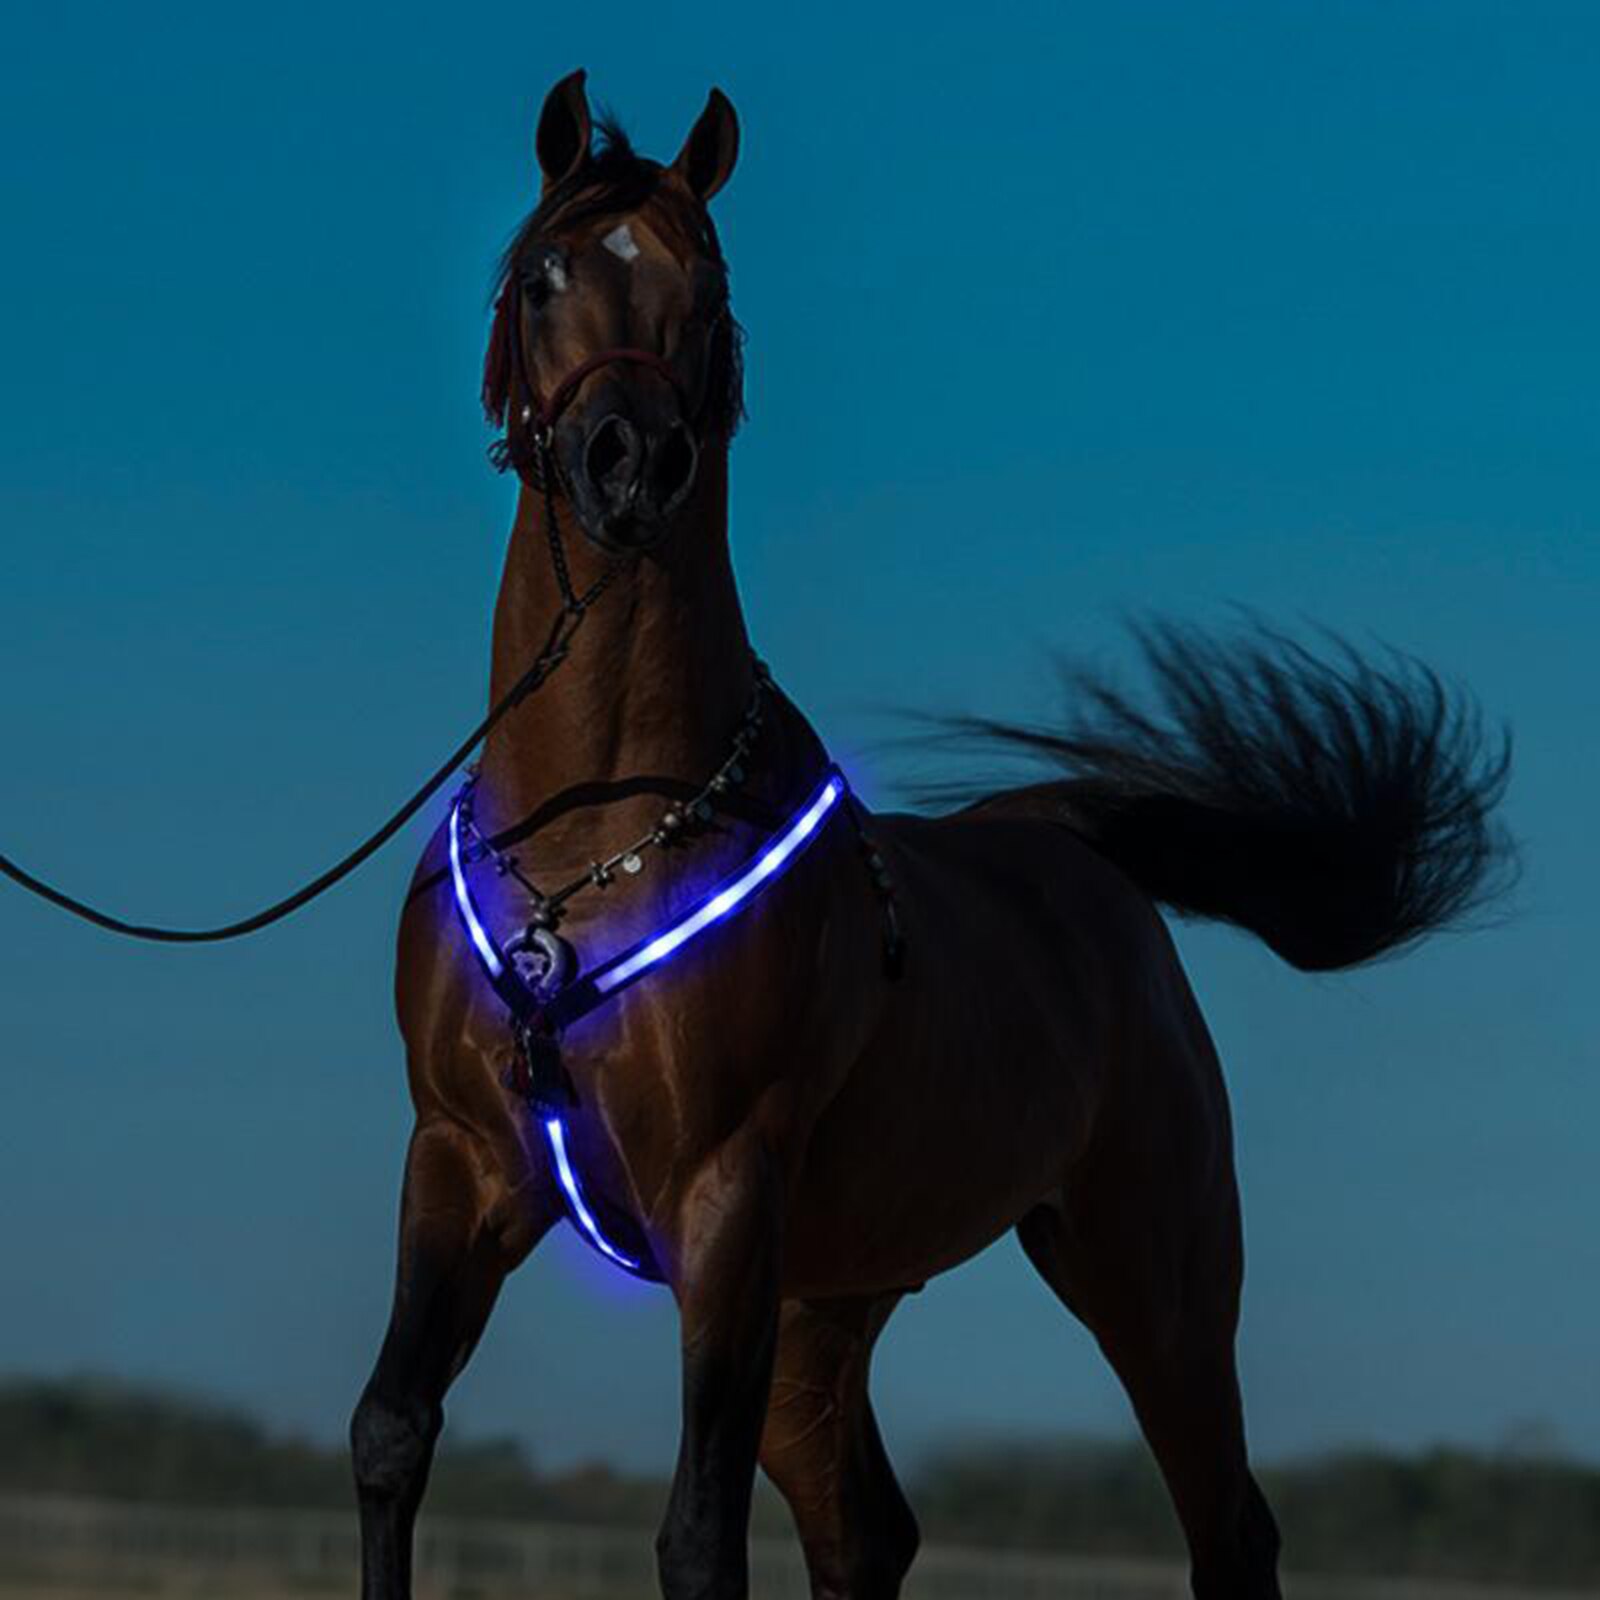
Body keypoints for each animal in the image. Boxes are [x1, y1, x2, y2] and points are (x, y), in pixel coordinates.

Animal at [349, 71, 1513, 1600]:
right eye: (544, 275)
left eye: (706, 290)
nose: (631, 463)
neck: (590, 842)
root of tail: (1071, 854)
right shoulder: (464, 1162)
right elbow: (392, 1434)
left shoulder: (723, 1196)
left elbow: (695, 1531)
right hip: (830, 1298)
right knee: (867, 1532)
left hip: (1147, 1270)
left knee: (1227, 1524)